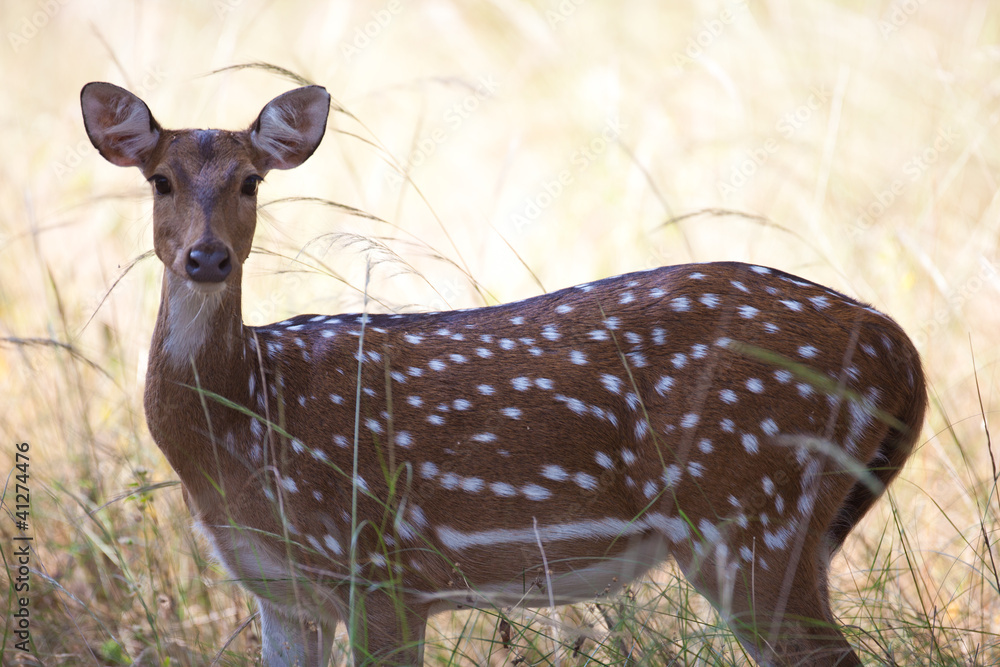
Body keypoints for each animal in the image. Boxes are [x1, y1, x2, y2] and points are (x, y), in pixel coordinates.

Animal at [82, 83, 924, 667]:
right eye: (159, 179)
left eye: (251, 180)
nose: (208, 256)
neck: (244, 422)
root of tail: (897, 345)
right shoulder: (283, 592)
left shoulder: (383, 565)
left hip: (751, 512)